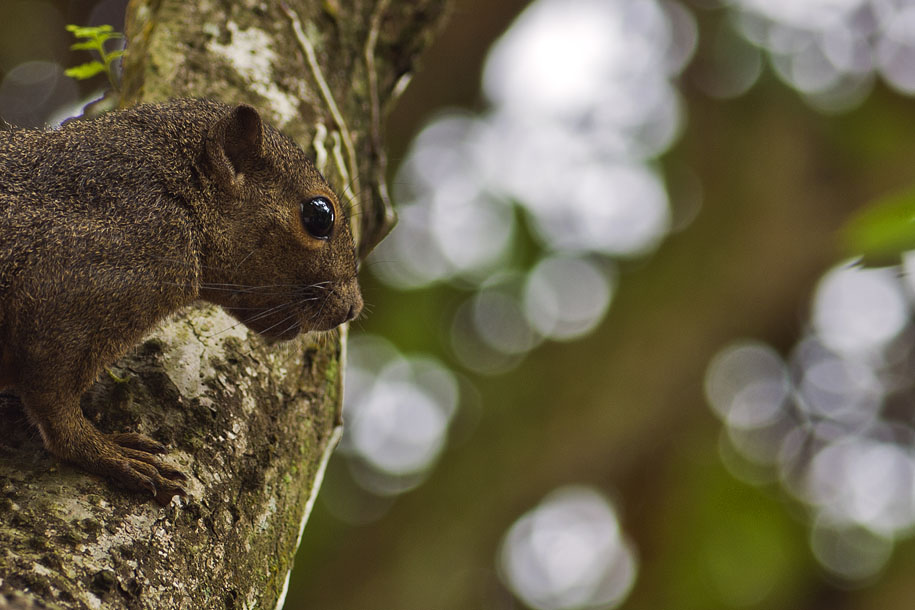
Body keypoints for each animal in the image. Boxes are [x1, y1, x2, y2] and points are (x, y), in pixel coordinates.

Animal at [0, 98, 363, 505]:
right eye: (320, 214)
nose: (354, 307)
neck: (179, 199)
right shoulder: (70, 291)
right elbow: (53, 403)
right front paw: (107, 452)